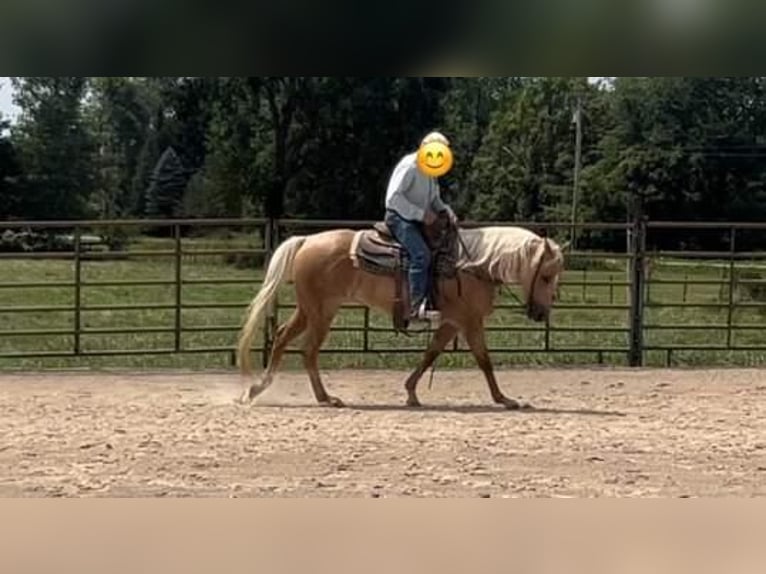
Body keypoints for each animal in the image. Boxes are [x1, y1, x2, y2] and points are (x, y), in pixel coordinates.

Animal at [237, 219, 568, 410]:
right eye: (546, 276)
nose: (541, 313)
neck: (474, 265)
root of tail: (307, 240)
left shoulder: (451, 323)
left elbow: (430, 354)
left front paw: (411, 393)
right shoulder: (470, 322)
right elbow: (485, 361)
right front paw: (505, 400)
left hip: (313, 309)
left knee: (283, 338)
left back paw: (260, 389)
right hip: (319, 311)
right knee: (308, 350)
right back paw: (323, 398)